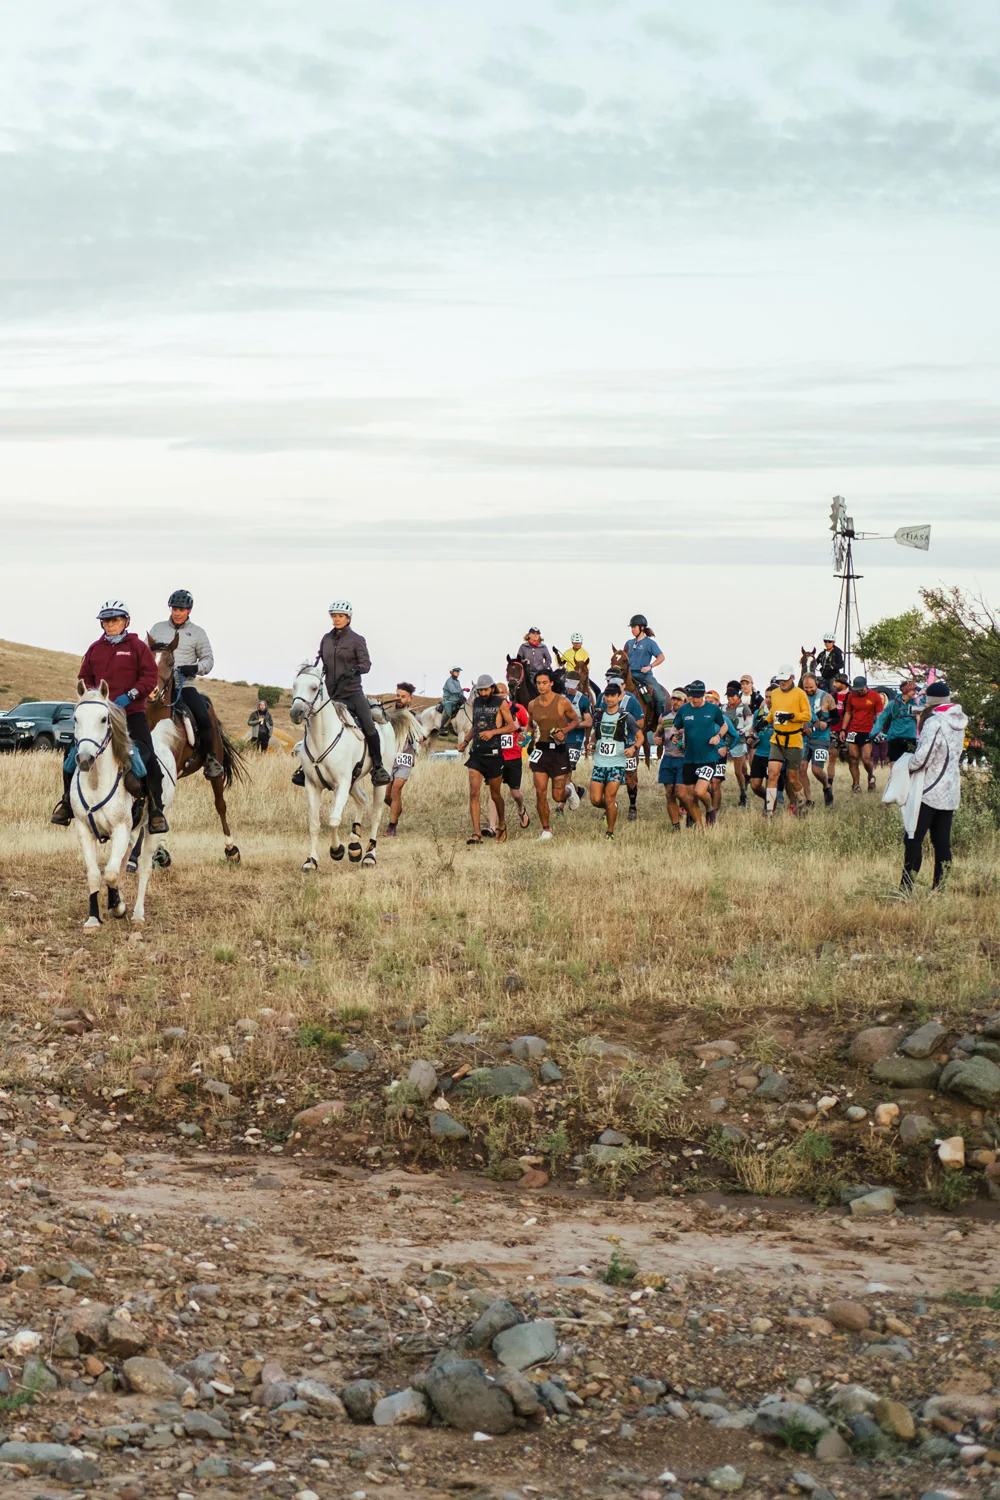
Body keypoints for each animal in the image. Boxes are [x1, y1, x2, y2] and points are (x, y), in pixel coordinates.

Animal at [72, 684, 176, 918]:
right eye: (75, 718)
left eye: (103, 719)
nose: (85, 759)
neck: (96, 783)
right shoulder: (84, 830)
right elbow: (94, 874)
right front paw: (94, 918)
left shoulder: (120, 828)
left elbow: (110, 873)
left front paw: (117, 906)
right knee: (125, 856)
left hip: (152, 829)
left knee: (144, 866)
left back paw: (138, 914)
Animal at [289, 666, 422, 876]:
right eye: (294, 685)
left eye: (313, 687)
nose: (296, 712)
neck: (323, 736)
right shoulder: (312, 785)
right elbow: (314, 824)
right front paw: (311, 861)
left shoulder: (341, 784)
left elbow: (334, 820)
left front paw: (337, 850)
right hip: (353, 781)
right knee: (362, 800)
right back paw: (354, 844)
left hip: (378, 782)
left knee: (375, 814)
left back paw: (368, 855)